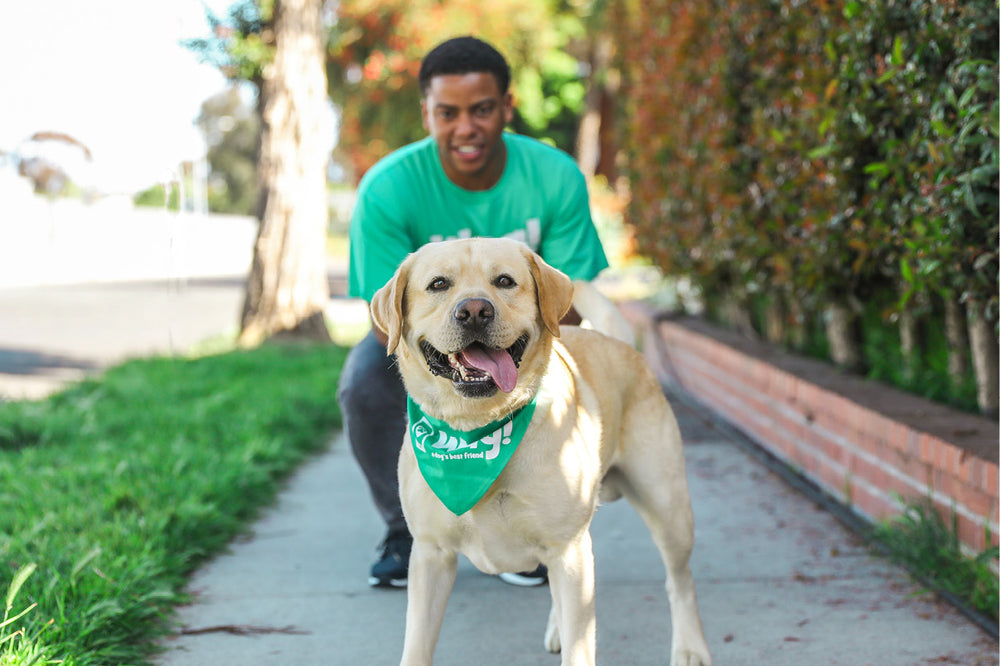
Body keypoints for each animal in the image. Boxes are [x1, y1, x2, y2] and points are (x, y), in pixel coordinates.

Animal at [370, 236, 712, 660]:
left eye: (504, 280)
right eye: (438, 284)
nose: (474, 311)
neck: (477, 429)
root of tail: (617, 341)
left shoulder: (568, 548)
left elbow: (581, 646)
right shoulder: (430, 554)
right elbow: (416, 646)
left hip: (668, 508)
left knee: (679, 580)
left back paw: (690, 647)